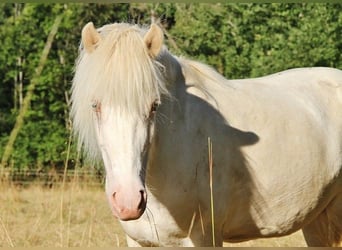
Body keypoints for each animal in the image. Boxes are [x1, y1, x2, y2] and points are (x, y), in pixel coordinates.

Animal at [71, 21, 342, 246]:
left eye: (154, 106)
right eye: (95, 106)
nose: (128, 202)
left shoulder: (204, 237)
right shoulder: (139, 242)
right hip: (317, 220)